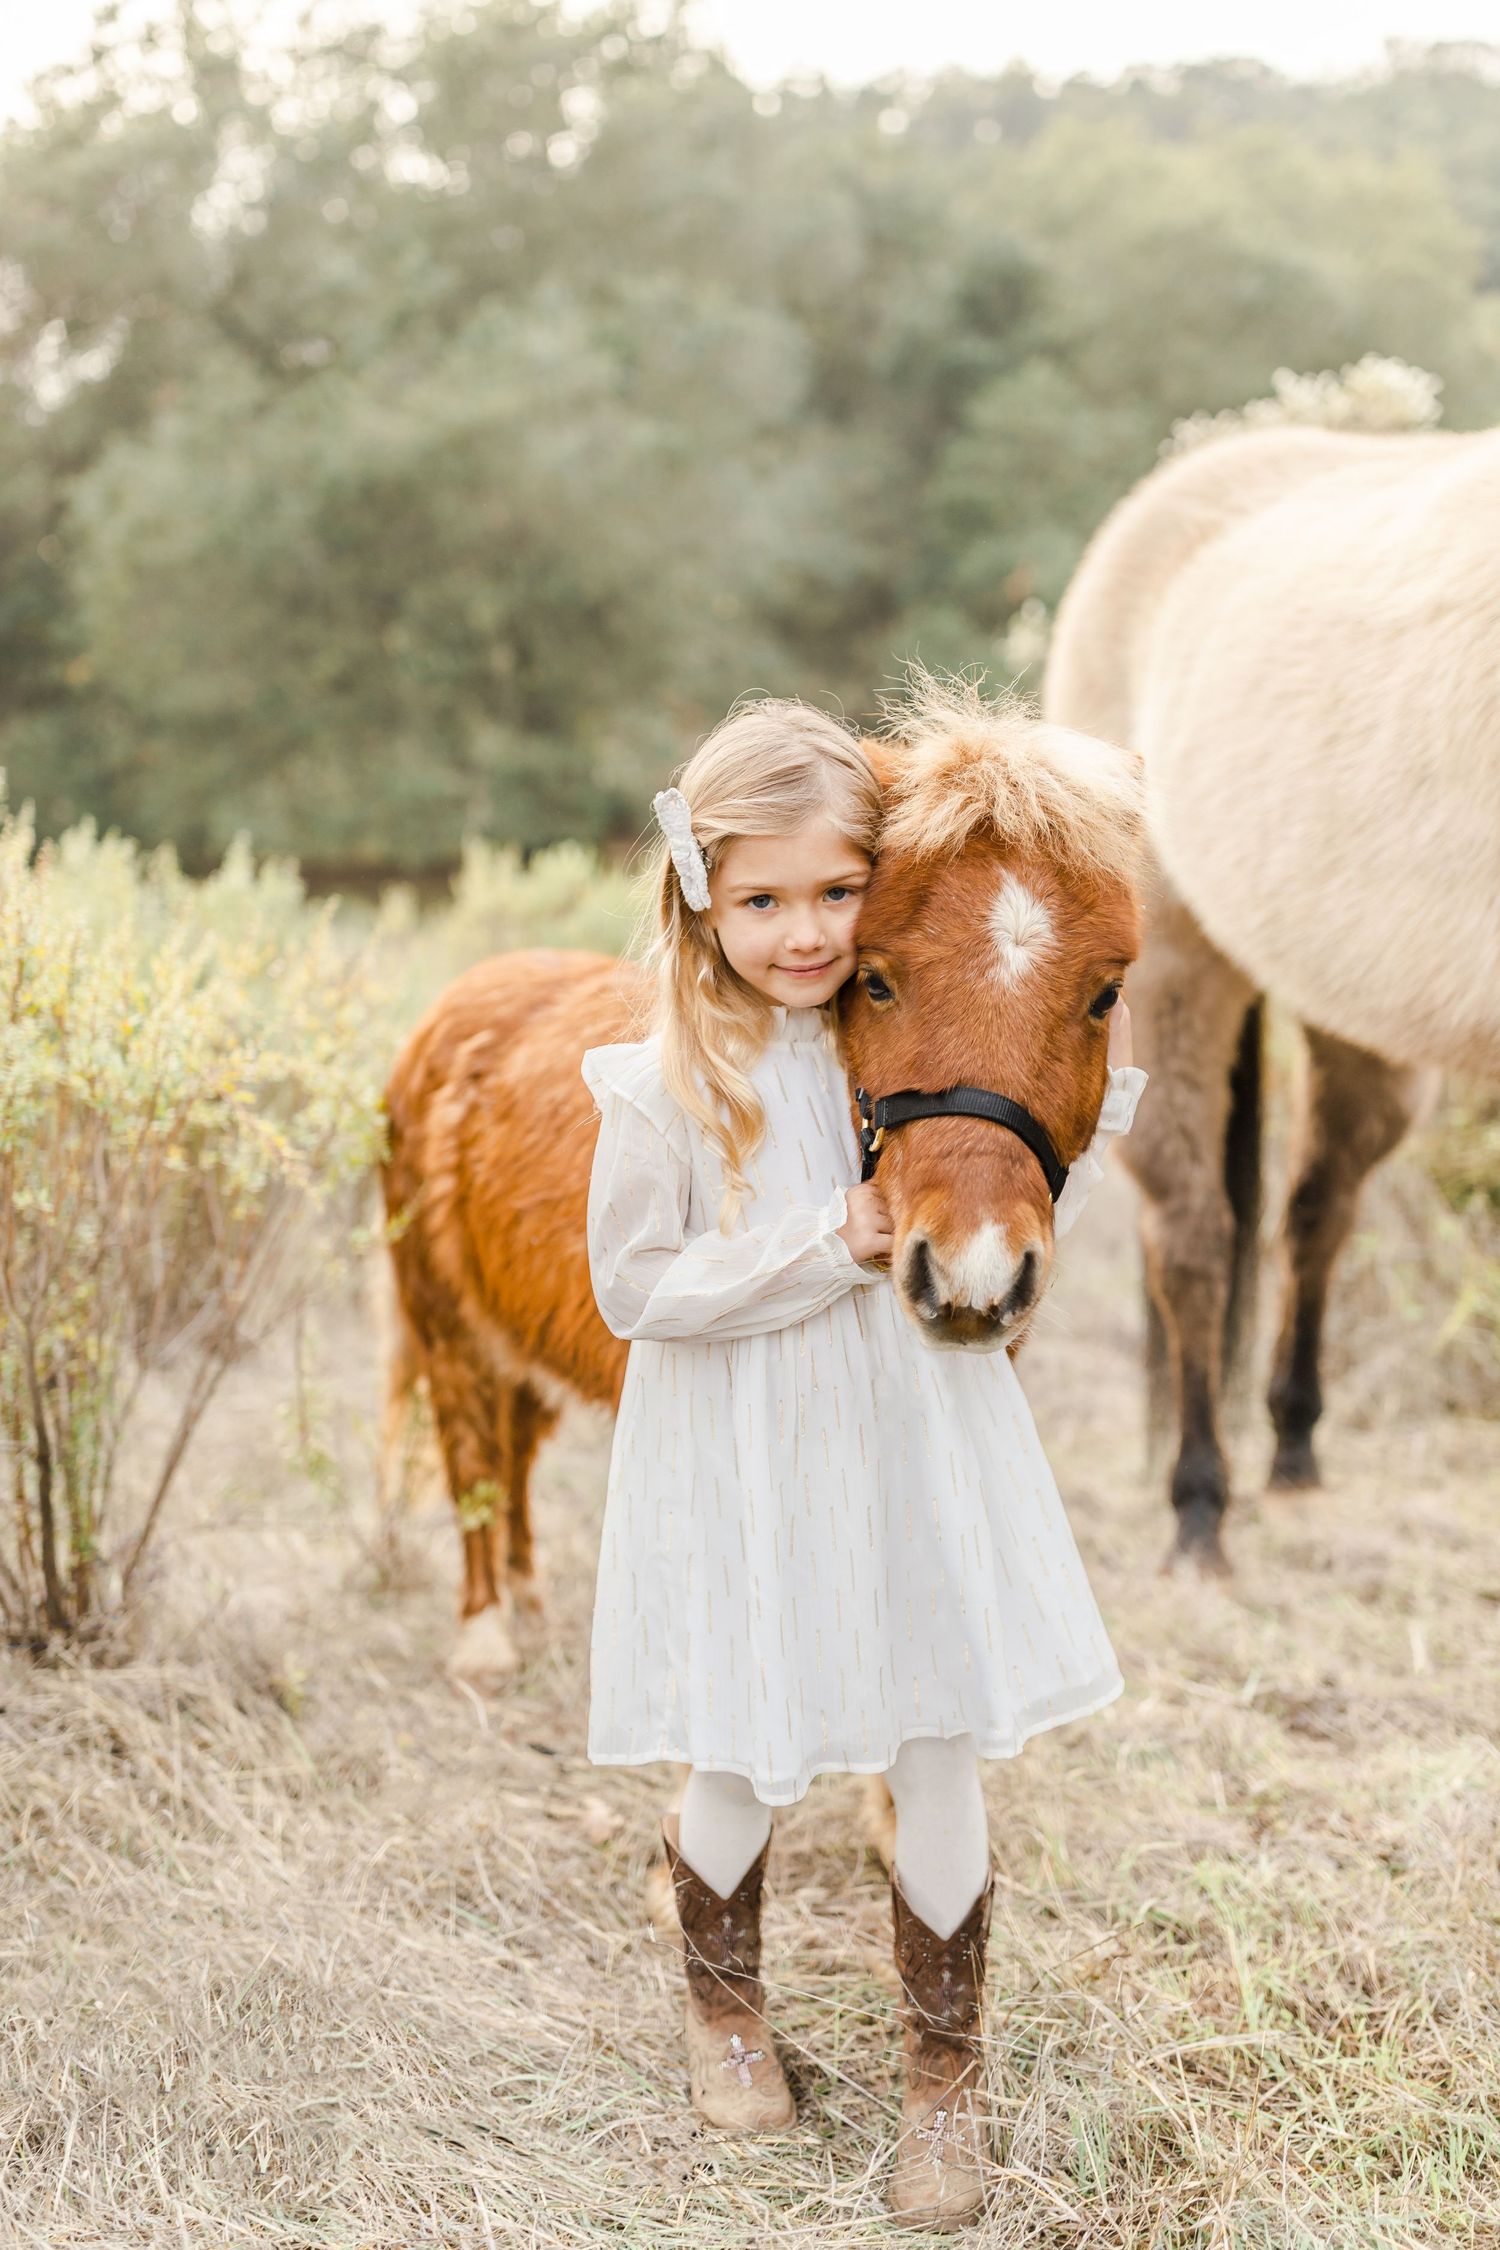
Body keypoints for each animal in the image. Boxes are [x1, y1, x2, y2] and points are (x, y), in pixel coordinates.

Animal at [1045, 424, 1500, 1570]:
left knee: (1313, 1211)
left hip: (1354, 1020)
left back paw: (1293, 1448)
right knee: (1195, 1235)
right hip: (1167, 975)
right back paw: (1198, 1503)